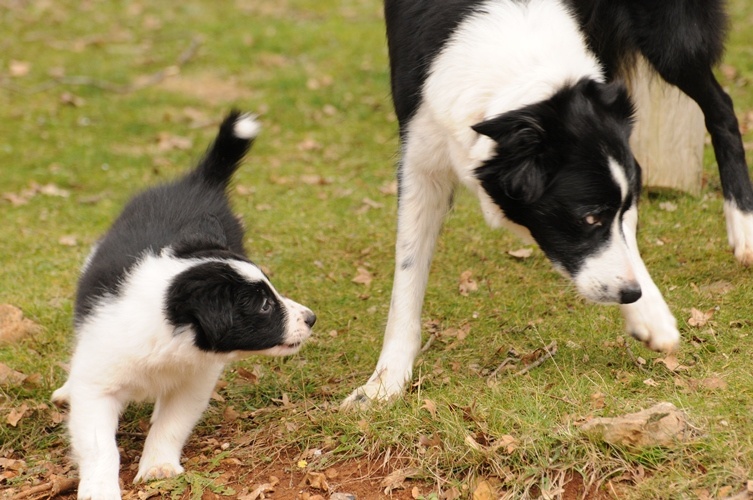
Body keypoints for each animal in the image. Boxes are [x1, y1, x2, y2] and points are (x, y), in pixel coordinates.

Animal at [50, 111, 314, 498]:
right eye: (264, 306)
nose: (311, 318)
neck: (164, 330)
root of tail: (199, 182)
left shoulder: (194, 380)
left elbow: (171, 423)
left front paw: (158, 466)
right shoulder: (99, 385)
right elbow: (100, 447)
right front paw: (100, 488)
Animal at [342, 0, 752, 406]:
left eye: (608, 214)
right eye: (589, 218)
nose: (630, 293)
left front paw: (649, 314)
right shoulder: (420, 146)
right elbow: (408, 269)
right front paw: (383, 382)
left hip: (670, 39)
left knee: (721, 107)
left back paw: (743, 228)